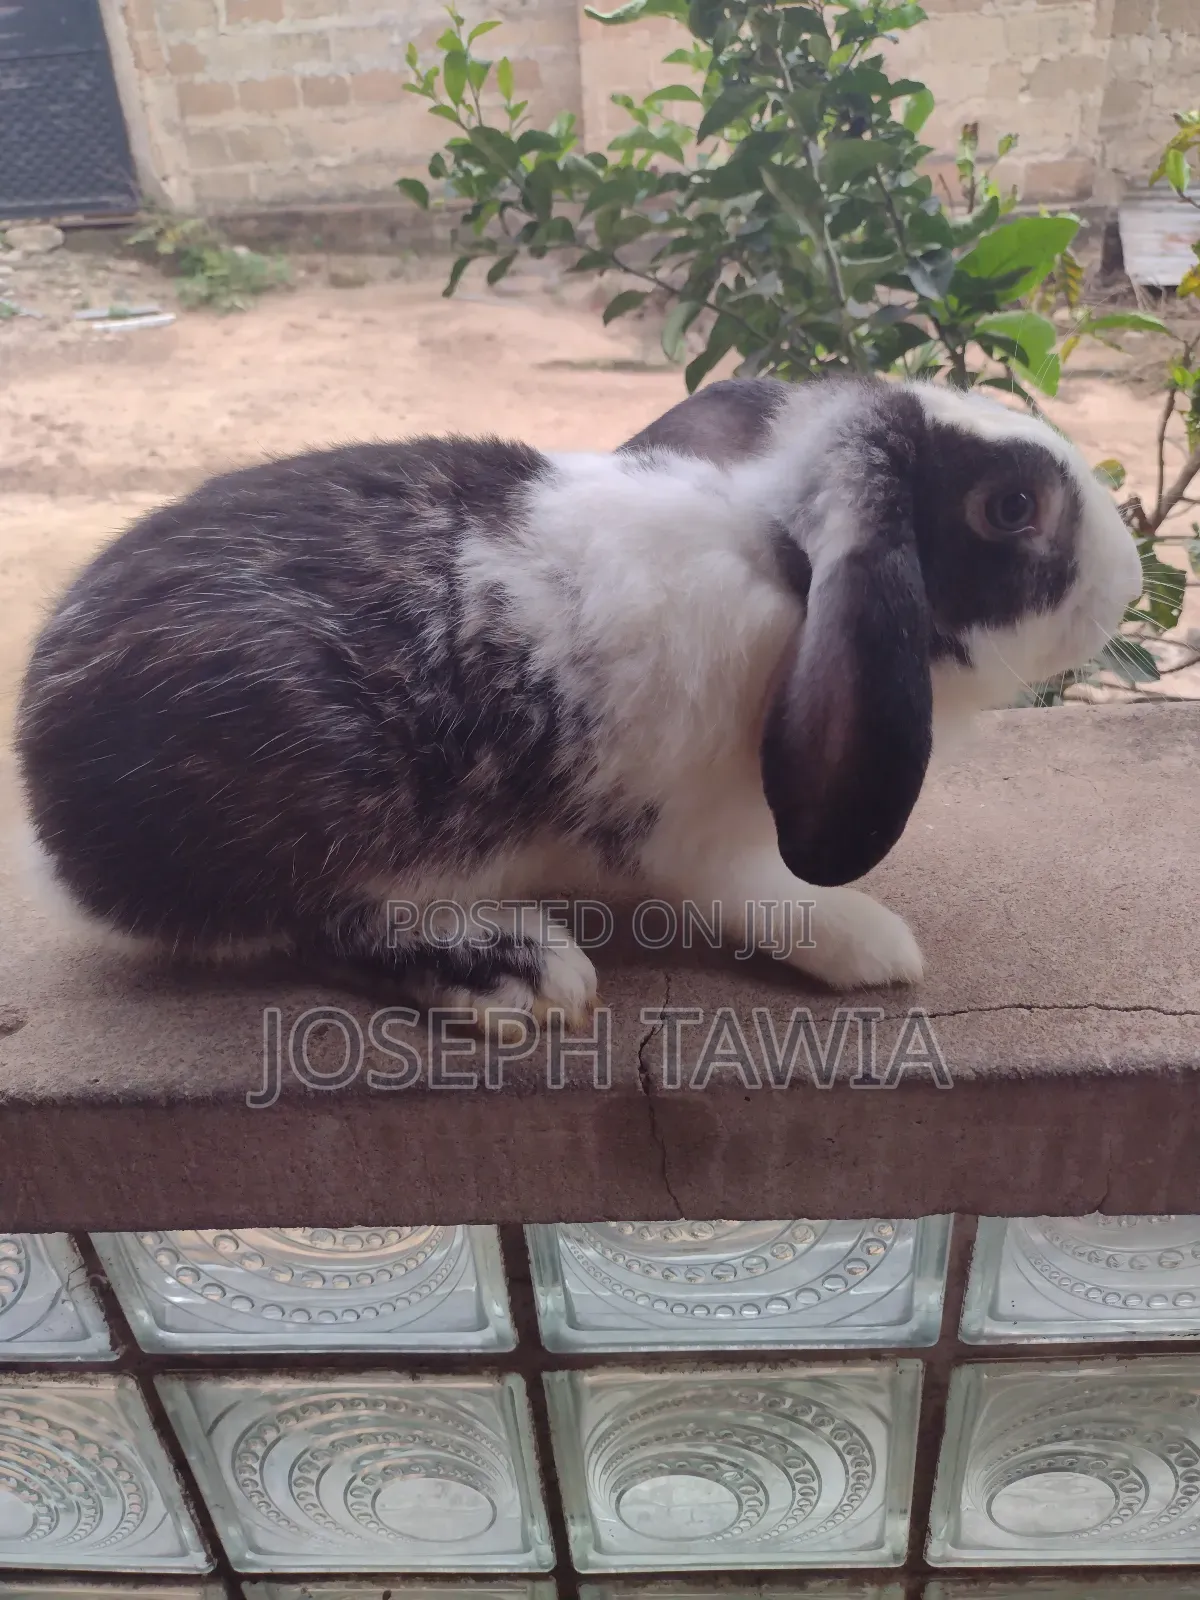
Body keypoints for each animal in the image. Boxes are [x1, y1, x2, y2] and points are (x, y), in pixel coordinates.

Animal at [15, 375, 1143, 1034]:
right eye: (1010, 509)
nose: (1129, 580)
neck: (785, 572)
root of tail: (49, 806)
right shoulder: (701, 838)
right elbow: (772, 898)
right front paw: (874, 948)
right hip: (319, 803)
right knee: (318, 922)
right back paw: (516, 972)